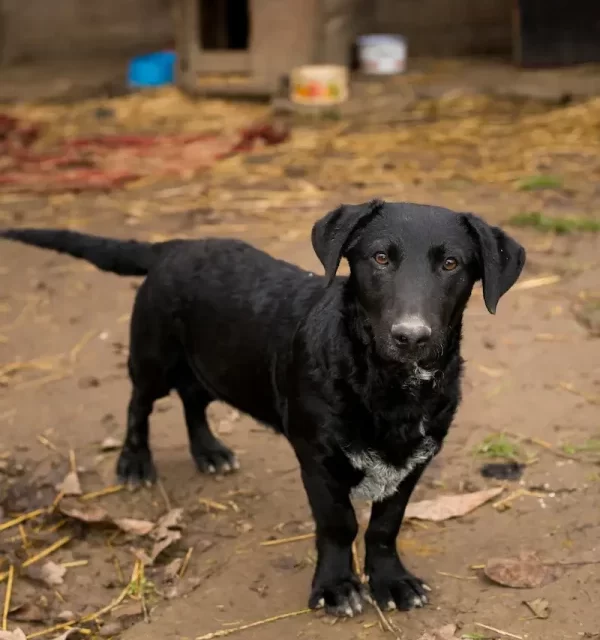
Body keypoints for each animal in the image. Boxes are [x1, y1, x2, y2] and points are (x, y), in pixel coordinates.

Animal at [0, 202, 524, 616]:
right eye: (379, 258)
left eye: (451, 264)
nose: (410, 336)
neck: (386, 386)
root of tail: (173, 246)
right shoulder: (318, 460)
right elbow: (339, 524)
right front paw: (337, 588)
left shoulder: (414, 460)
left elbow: (384, 527)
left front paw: (391, 582)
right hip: (153, 356)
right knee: (138, 404)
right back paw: (134, 462)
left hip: (212, 364)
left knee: (193, 400)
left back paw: (209, 452)